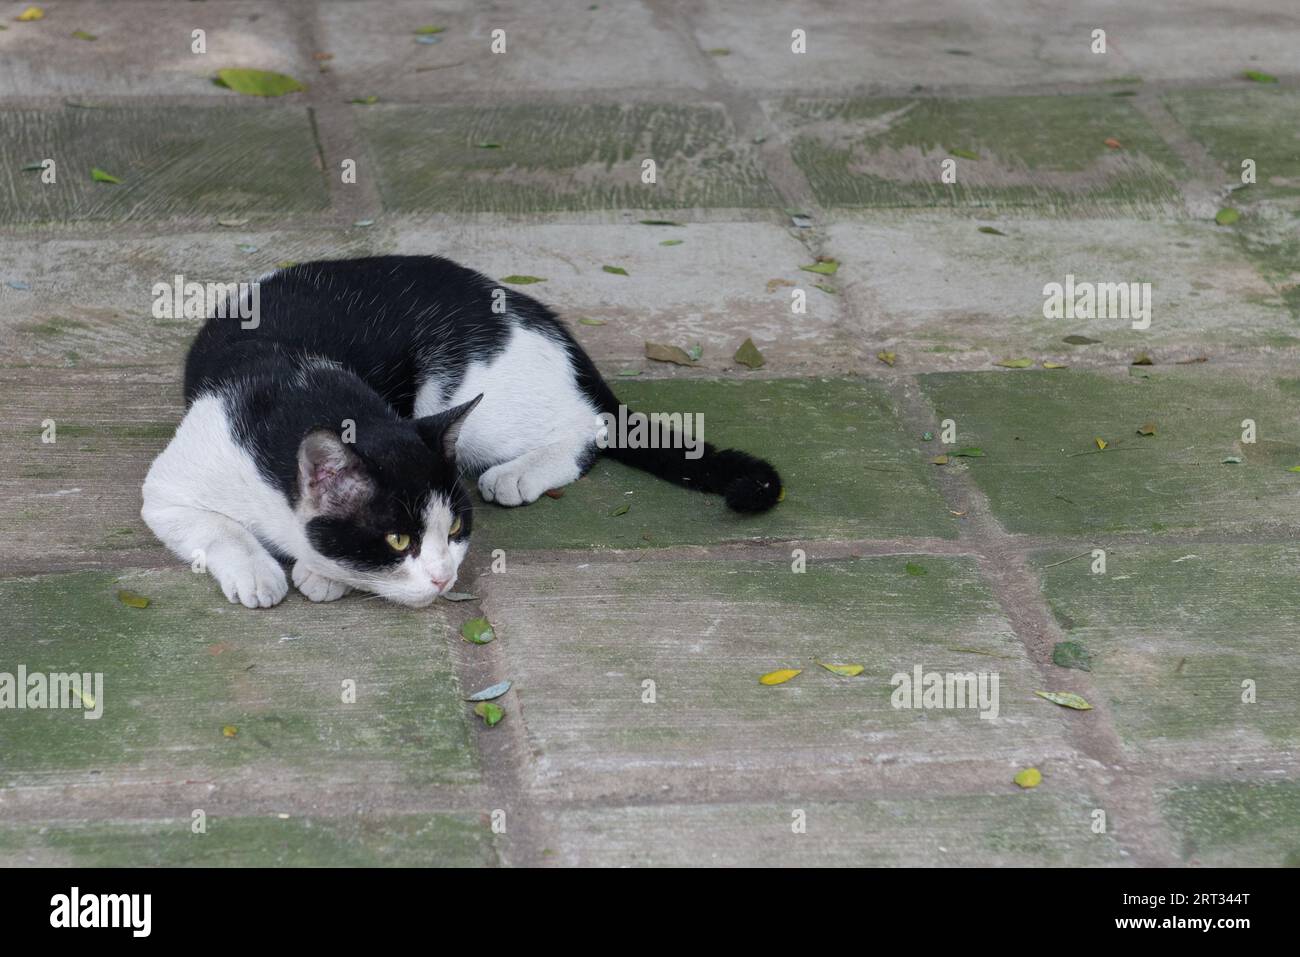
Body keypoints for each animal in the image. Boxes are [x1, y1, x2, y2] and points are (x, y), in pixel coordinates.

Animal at [139, 254, 780, 608]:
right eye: (399, 540)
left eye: (455, 531)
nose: (445, 578)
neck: (299, 385)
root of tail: (546, 322)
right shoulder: (168, 489)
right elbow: (220, 527)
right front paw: (259, 570)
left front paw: (318, 573)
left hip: (474, 400)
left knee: (588, 426)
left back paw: (520, 472)